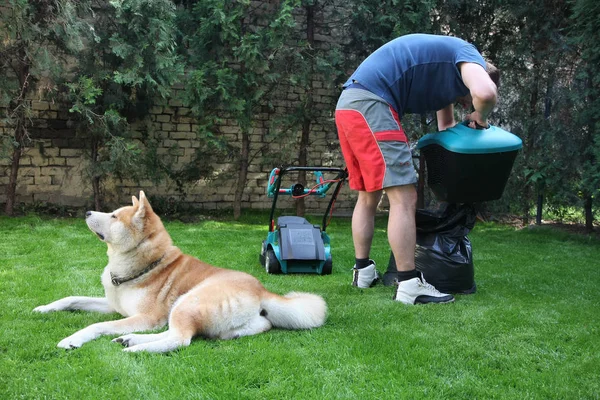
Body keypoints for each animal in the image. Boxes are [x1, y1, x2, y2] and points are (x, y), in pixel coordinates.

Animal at [33, 192, 328, 352]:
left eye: (114, 216)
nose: (86, 211)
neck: (144, 265)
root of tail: (262, 289)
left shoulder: (146, 317)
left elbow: (96, 326)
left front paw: (73, 339)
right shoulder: (113, 305)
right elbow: (71, 298)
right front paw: (44, 308)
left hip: (187, 301)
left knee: (179, 339)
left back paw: (137, 349)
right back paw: (130, 340)